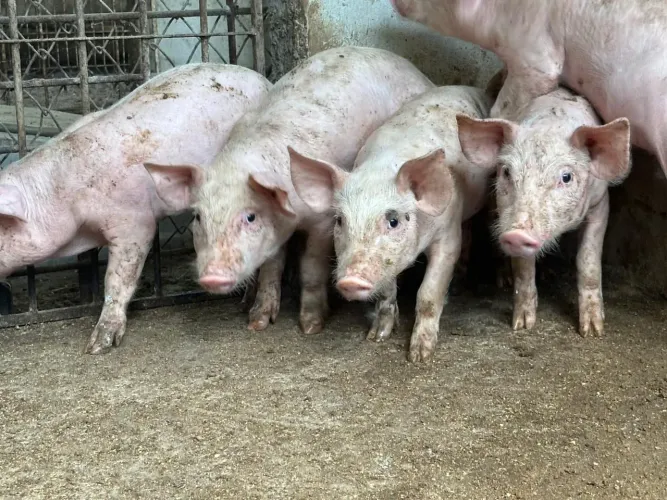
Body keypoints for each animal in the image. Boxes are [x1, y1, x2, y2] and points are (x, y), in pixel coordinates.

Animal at [144, 46, 435, 335]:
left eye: (250, 216)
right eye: (197, 217)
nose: (212, 276)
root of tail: (419, 73)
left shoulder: (322, 220)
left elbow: (311, 268)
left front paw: (311, 326)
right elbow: (271, 268)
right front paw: (257, 322)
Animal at [289, 85, 494, 362]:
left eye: (394, 221)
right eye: (340, 220)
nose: (350, 280)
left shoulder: (448, 234)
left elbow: (429, 293)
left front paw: (419, 355)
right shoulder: (386, 261)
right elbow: (386, 292)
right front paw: (376, 337)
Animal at [456, 87, 631, 336]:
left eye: (566, 177)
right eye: (507, 172)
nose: (517, 234)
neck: (550, 126)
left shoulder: (600, 204)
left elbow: (587, 259)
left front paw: (593, 331)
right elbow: (523, 269)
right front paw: (522, 325)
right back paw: (504, 280)